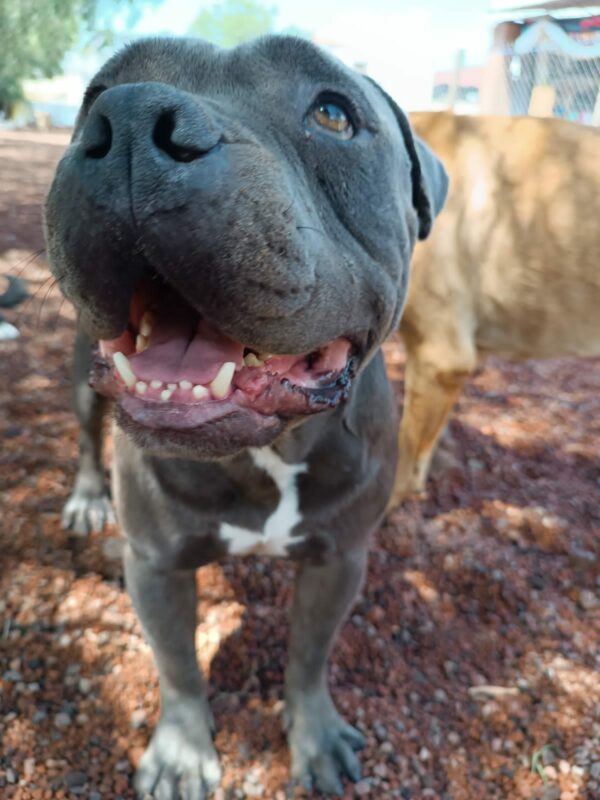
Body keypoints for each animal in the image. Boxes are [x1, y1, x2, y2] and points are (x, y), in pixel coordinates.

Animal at [44, 34, 448, 796]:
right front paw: (180, 753)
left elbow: (310, 656)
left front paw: (314, 735)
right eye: (96, 95)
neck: (268, 455)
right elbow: (176, 666)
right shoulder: (156, 565)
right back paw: (86, 499)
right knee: (85, 434)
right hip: (83, 378)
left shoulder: (339, 561)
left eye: (332, 113)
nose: (130, 119)